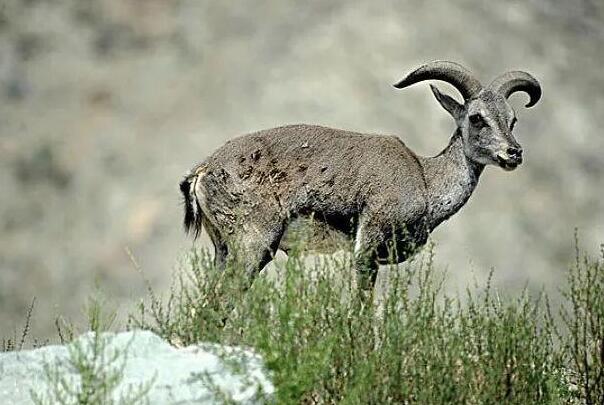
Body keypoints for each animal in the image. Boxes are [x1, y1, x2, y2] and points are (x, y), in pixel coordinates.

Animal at [180, 60, 544, 288]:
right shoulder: (367, 248)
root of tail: (202, 171)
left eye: (512, 119)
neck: (425, 179)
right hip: (254, 246)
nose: (514, 153)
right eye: (476, 117)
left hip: (224, 250)